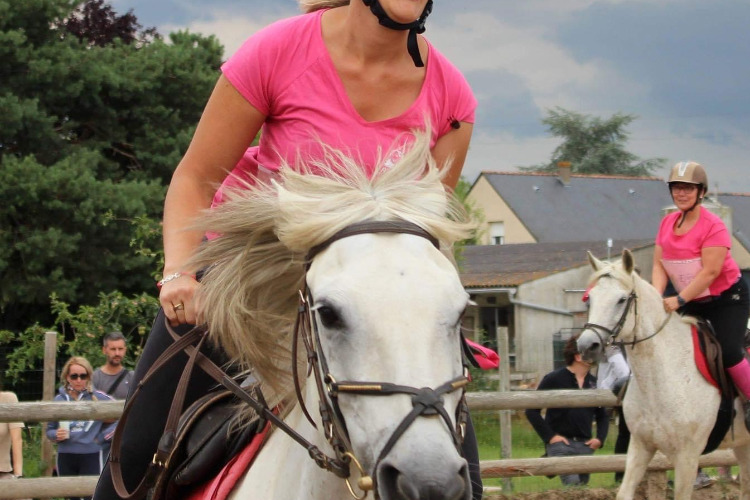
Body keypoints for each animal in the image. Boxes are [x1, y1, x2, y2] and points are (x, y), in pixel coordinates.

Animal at [577, 249, 750, 500]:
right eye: (590, 299)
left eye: (621, 300)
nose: (586, 346)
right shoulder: (640, 446)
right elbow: (624, 492)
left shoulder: (688, 457)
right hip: (743, 445)